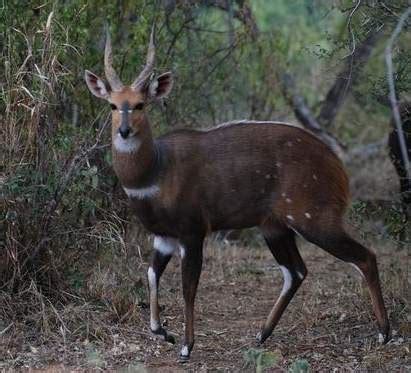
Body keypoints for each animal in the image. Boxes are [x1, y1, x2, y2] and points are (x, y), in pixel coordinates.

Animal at [84, 27, 392, 358]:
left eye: (140, 104)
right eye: (113, 105)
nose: (124, 131)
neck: (156, 170)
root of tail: (338, 165)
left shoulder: (193, 231)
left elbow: (188, 287)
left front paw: (186, 346)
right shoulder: (163, 236)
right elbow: (152, 274)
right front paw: (163, 333)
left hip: (314, 219)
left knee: (364, 257)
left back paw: (384, 333)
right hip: (274, 226)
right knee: (296, 271)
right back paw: (261, 334)